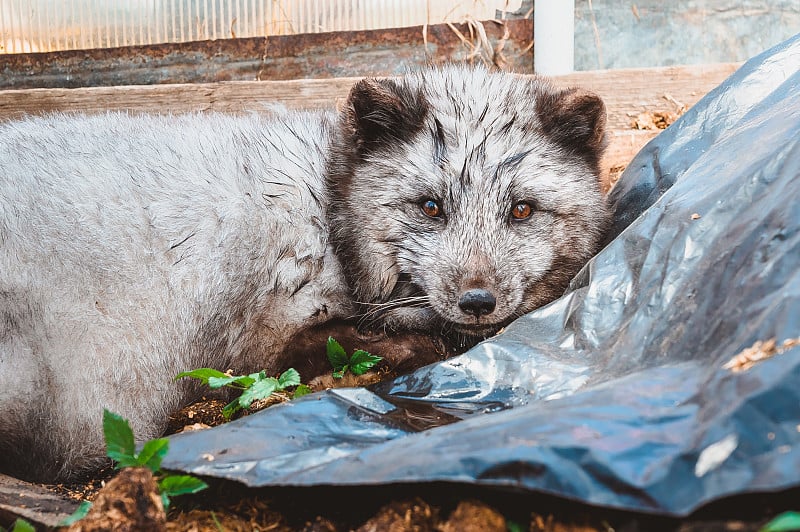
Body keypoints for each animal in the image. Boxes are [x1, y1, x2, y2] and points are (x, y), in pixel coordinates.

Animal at [0, 63, 608, 482]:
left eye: (522, 210)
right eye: (431, 206)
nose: (477, 302)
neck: (330, 206)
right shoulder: (261, 348)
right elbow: (400, 343)